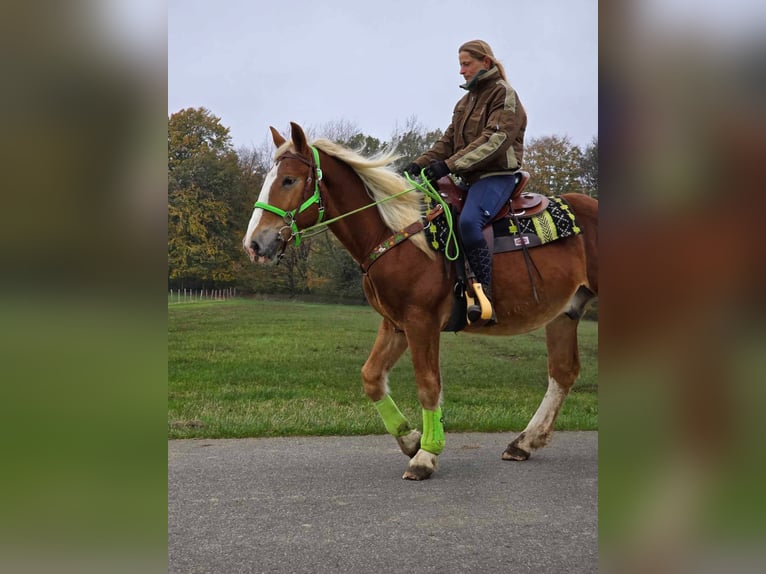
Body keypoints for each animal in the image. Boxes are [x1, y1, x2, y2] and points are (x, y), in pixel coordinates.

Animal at [246, 121, 600, 482]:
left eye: (289, 180)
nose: (254, 244)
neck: (399, 235)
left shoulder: (422, 322)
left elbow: (429, 385)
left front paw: (426, 455)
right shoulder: (396, 324)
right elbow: (371, 378)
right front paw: (411, 439)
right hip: (565, 314)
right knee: (562, 373)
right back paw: (525, 442)